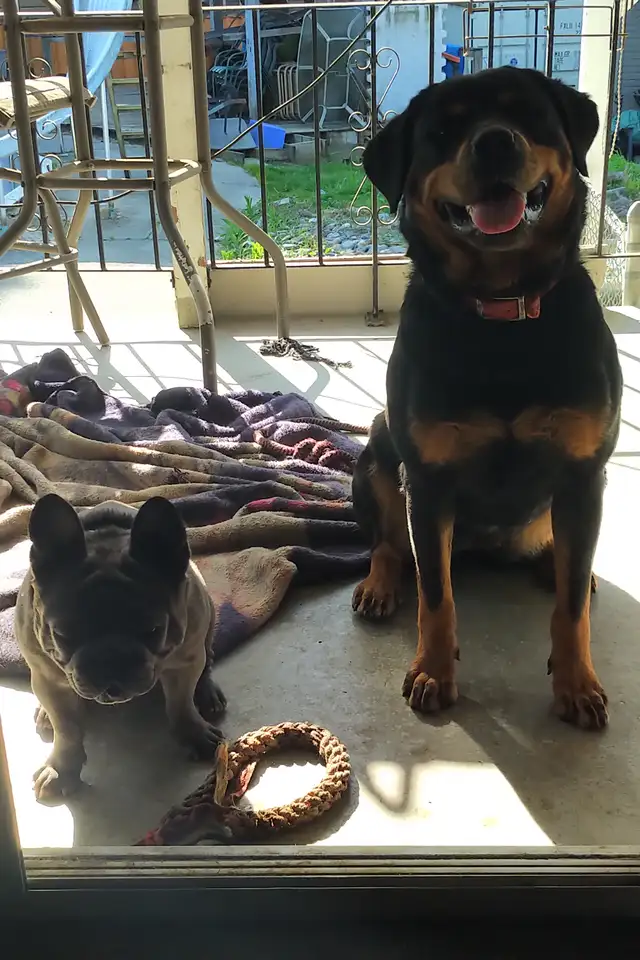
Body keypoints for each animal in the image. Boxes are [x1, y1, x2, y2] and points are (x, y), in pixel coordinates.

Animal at [15, 494, 226, 803]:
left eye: (154, 631)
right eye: (63, 635)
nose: (110, 661)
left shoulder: (184, 663)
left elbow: (181, 704)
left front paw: (194, 733)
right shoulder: (48, 680)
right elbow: (66, 729)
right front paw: (61, 769)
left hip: (207, 616)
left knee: (207, 660)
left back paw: (207, 693)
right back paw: (44, 713)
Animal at [351, 67, 622, 731]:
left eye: (528, 112)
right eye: (442, 130)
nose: (495, 142)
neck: (502, 312)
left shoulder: (583, 475)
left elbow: (571, 610)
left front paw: (577, 682)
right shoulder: (426, 482)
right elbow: (436, 595)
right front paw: (433, 670)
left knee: (567, 563)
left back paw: (558, 566)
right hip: (376, 449)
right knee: (390, 544)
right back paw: (380, 584)